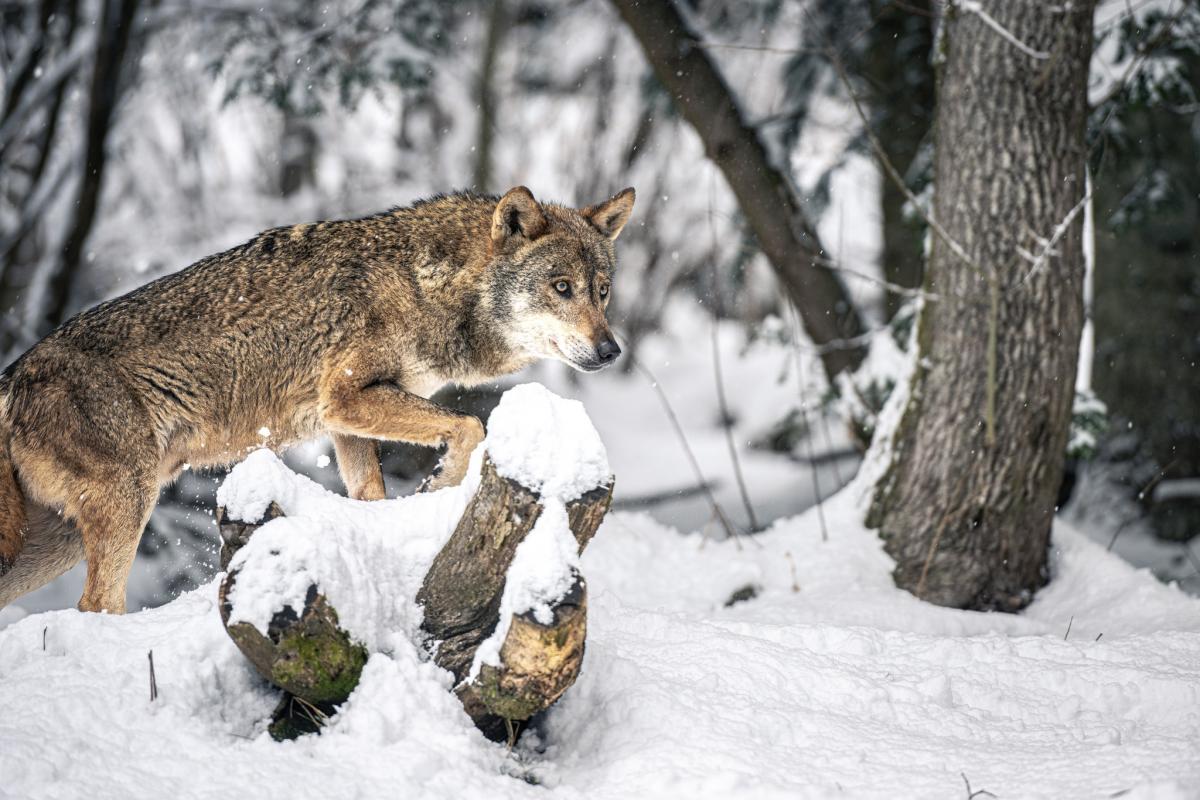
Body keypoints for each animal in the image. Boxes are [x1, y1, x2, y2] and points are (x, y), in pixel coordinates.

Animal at [0, 185, 633, 614]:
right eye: (561, 288)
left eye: (602, 292)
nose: (611, 350)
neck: (429, 284)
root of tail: (15, 377)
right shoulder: (345, 398)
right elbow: (469, 428)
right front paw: (439, 488)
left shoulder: (347, 421)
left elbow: (371, 492)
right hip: (126, 507)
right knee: (96, 605)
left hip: (51, 546)